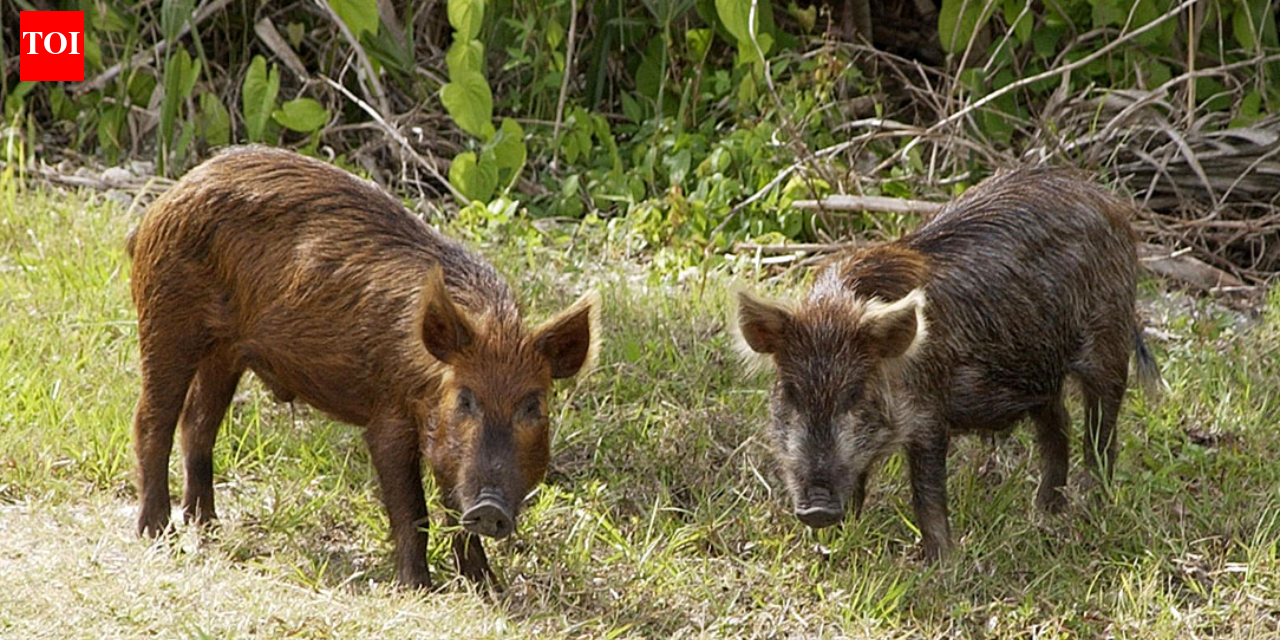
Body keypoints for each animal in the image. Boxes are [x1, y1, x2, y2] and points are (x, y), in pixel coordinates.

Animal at [126, 146, 599, 587]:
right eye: (465, 399)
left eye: (533, 406)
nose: (490, 508)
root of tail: (166, 197)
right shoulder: (388, 417)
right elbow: (412, 508)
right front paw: (418, 588)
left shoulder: (445, 445)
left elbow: (452, 509)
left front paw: (488, 588)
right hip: (167, 317)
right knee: (152, 419)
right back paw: (158, 533)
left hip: (225, 352)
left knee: (198, 424)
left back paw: (207, 526)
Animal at [734, 168, 1160, 560]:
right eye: (791, 392)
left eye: (855, 393)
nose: (817, 509)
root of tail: (1109, 203)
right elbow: (858, 482)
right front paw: (833, 545)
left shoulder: (928, 416)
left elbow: (927, 492)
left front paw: (940, 563)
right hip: (1040, 375)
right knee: (1058, 427)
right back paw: (1045, 513)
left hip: (1108, 345)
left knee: (1101, 436)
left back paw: (1092, 509)